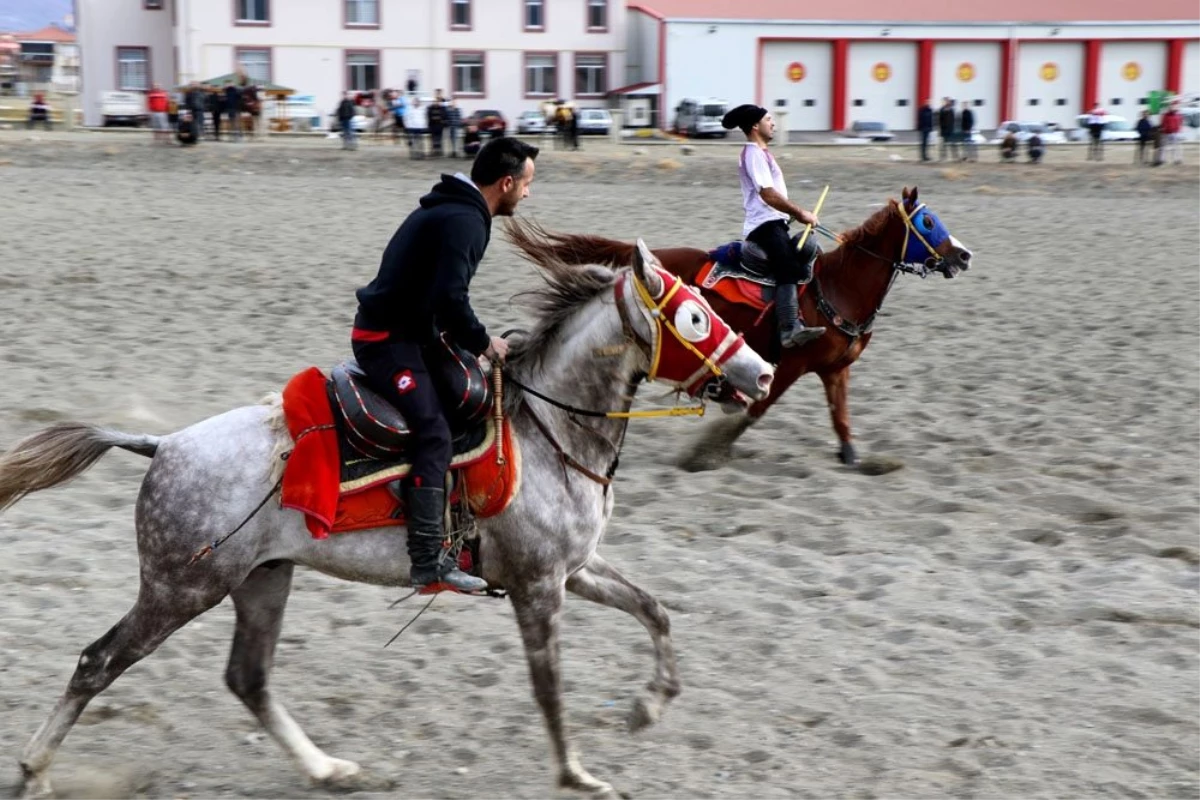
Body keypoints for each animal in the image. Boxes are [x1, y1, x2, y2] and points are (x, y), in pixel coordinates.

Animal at [0, 226, 772, 800]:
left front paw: (649, 704)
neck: (549, 427)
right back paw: (35, 770)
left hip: (262, 579)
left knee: (248, 678)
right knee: (97, 663)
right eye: (696, 315)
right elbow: (549, 688)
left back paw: (327, 769)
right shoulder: (538, 588)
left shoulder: (576, 569)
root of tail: (163, 444)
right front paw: (578, 774)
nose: (762, 372)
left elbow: (655, 610)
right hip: (180, 589)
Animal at [516, 189, 974, 470]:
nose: (964, 255)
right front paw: (707, 452)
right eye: (927, 223)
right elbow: (758, 409)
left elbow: (841, 418)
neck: (839, 286)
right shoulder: (792, 364)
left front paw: (858, 461)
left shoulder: (836, 370)